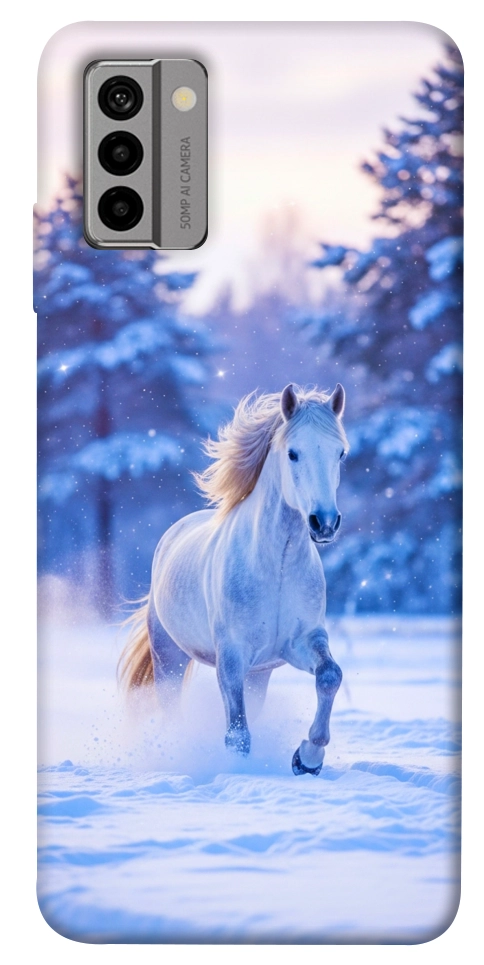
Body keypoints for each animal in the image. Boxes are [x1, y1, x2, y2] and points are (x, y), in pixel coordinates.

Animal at [119, 382, 348, 775]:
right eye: (293, 453)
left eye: (340, 453)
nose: (324, 523)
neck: (276, 567)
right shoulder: (231, 656)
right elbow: (237, 734)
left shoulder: (301, 642)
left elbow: (330, 676)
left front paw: (307, 758)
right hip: (169, 658)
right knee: (171, 709)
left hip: (259, 674)